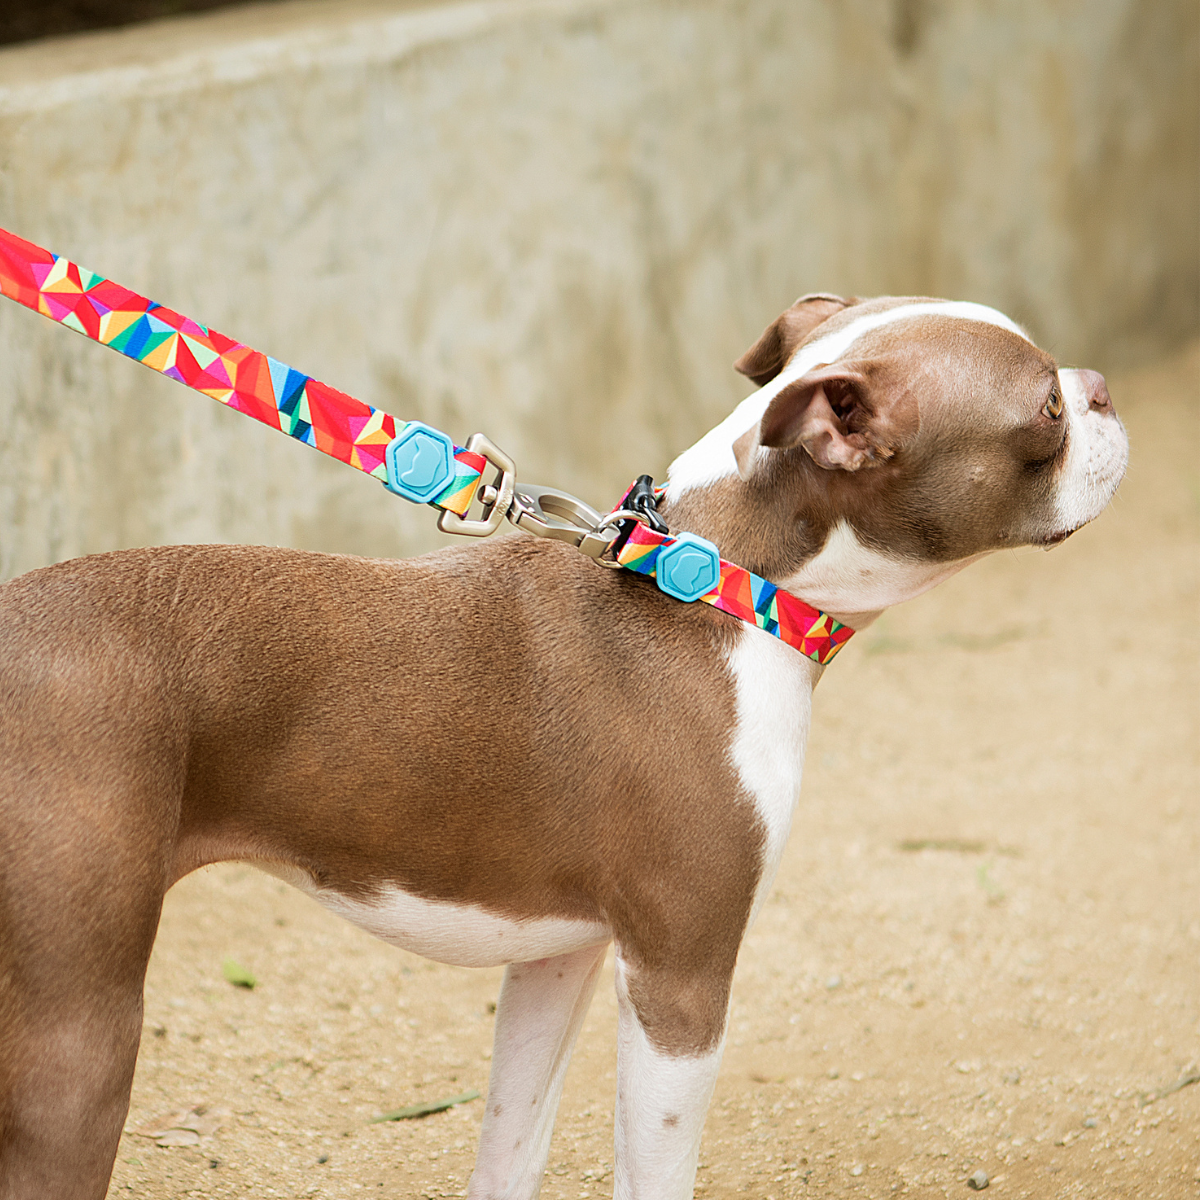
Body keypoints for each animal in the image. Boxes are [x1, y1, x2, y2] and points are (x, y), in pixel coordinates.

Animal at [0, 292, 1123, 1200]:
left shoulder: (556, 962)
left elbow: (512, 1145)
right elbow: (653, 1174)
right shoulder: (680, 982)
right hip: (77, 1038)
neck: (716, 590)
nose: (1102, 388)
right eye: (1046, 411)